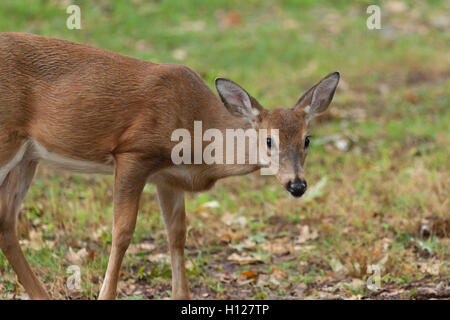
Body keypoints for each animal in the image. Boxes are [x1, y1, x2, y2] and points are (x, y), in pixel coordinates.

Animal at [0, 31, 338, 298]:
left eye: (307, 140)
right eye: (268, 140)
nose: (297, 185)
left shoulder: (167, 178)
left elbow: (176, 234)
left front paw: (181, 295)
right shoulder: (134, 153)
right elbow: (122, 232)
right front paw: (106, 294)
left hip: (27, 157)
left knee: (6, 221)